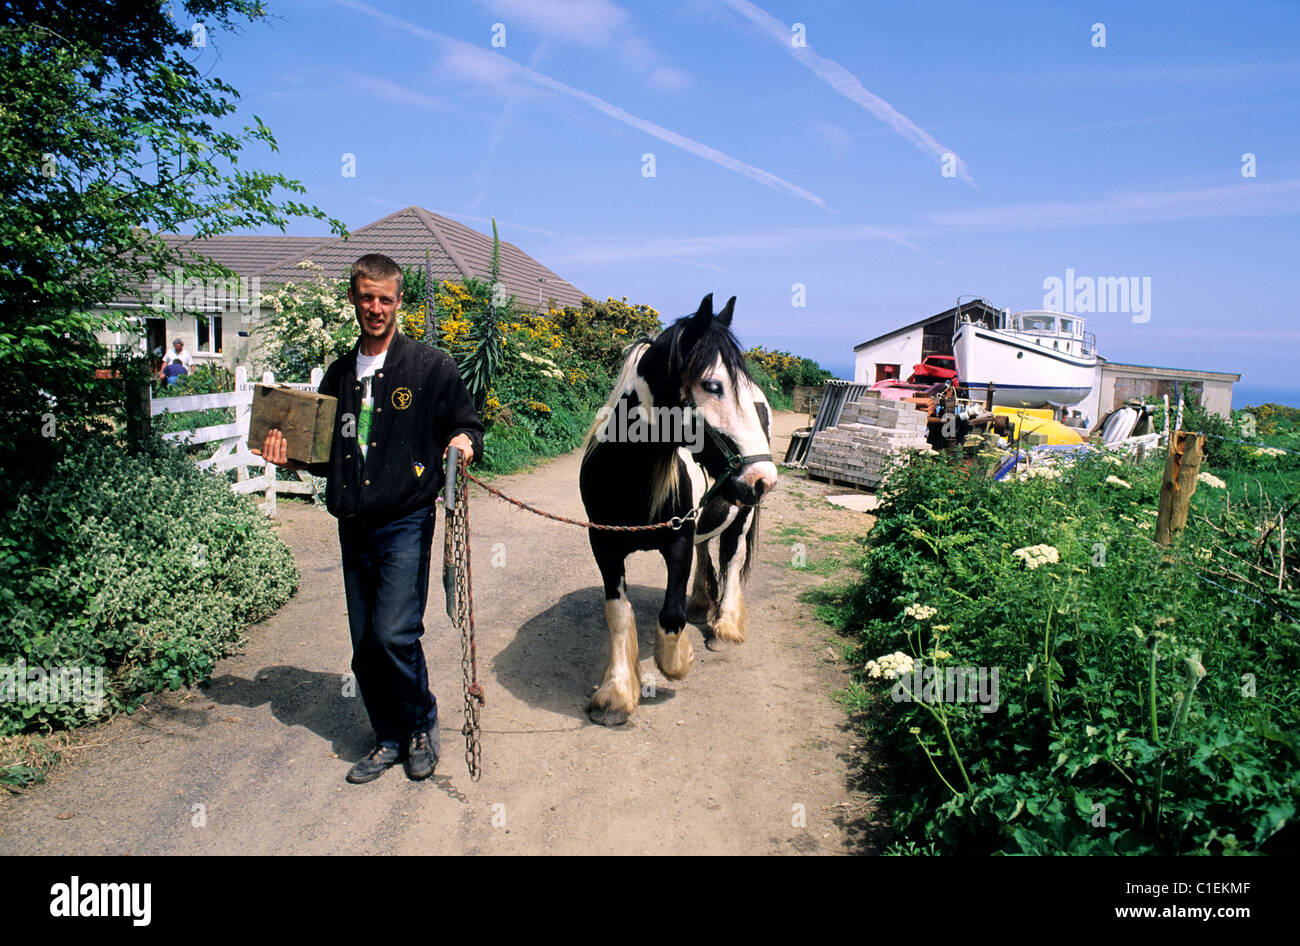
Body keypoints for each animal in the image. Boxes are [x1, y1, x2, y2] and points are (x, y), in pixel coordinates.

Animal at [582, 293, 780, 722]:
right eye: (713, 386)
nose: (764, 478)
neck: (628, 479)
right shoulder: (604, 545)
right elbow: (617, 614)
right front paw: (616, 692)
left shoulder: (677, 541)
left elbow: (670, 615)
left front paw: (677, 659)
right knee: (708, 550)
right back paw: (702, 601)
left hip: (742, 514)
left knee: (732, 561)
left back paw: (724, 627)